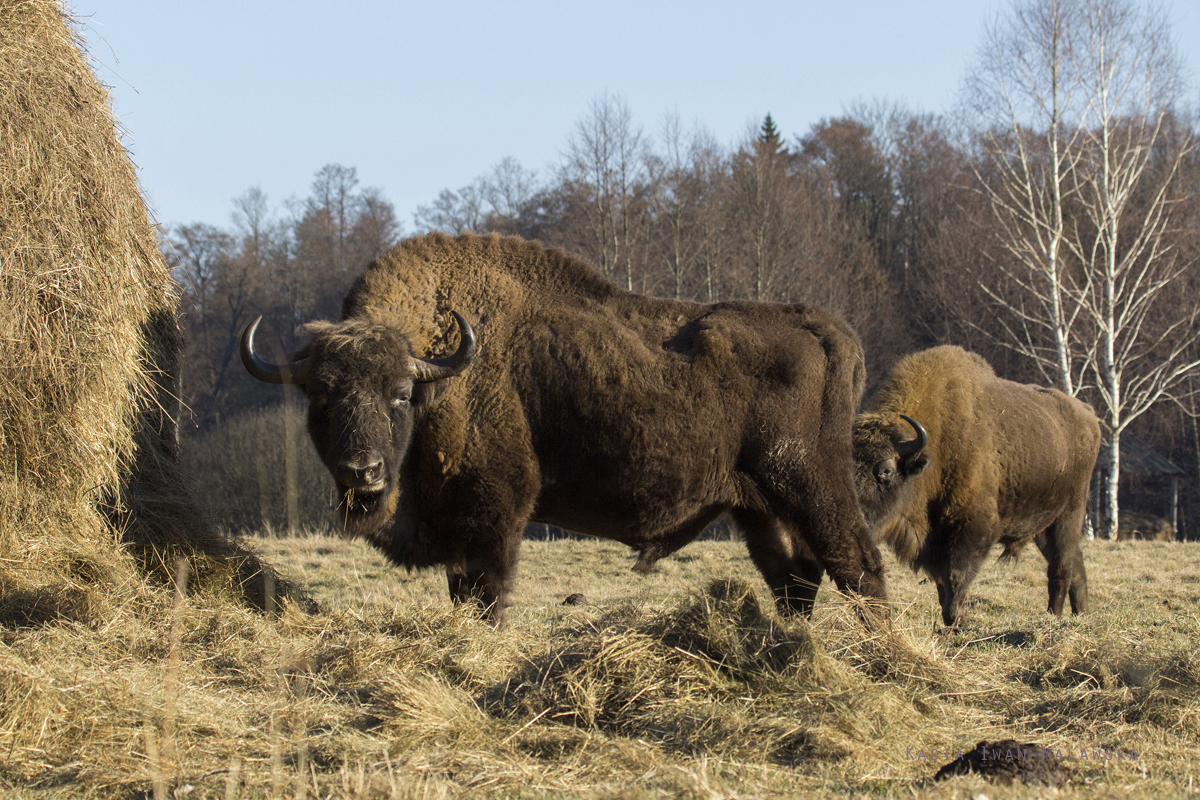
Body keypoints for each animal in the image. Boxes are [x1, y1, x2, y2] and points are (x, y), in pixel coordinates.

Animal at [238, 231, 888, 623]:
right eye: (320, 396)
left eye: (400, 395)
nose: (363, 470)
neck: (440, 367)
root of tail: (825, 328)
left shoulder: (494, 515)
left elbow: (486, 593)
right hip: (757, 505)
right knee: (796, 577)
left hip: (810, 482)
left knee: (858, 564)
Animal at [854, 347, 1099, 628]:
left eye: (886, 470)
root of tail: (1089, 414)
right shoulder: (934, 543)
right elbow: (942, 584)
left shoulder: (974, 529)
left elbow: (957, 576)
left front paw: (957, 619)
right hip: (1043, 526)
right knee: (1074, 563)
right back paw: (1080, 615)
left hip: (1069, 514)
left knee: (1062, 566)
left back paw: (1054, 617)